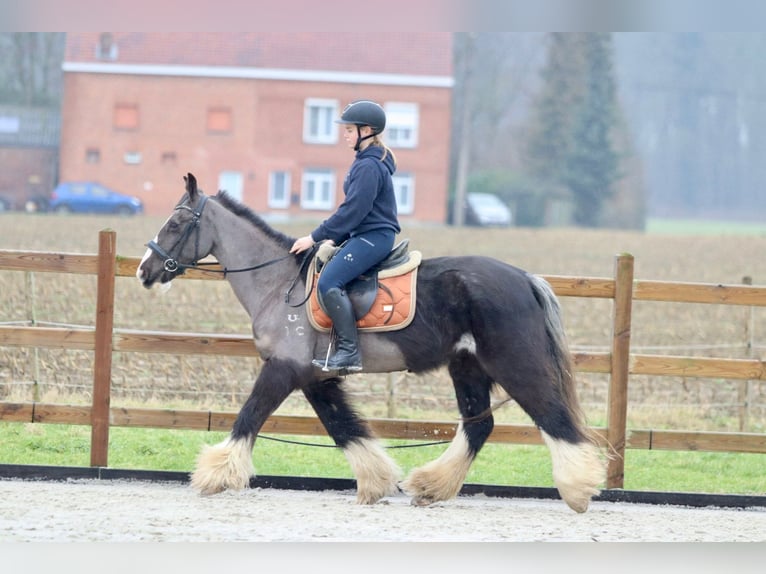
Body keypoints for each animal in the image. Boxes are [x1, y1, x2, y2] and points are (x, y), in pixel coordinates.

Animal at [136, 173, 608, 516]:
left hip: (513, 362)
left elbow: (248, 417)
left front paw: (215, 475)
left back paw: (579, 489)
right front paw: (377, 483)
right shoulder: (315, 379)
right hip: (467, 367)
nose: (144, 270)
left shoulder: (283, 369)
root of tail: (524, 278)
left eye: (176, 223)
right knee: (479, 425)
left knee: (553, 418)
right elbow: (345, 428)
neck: (277, 284)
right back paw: (431, 486)